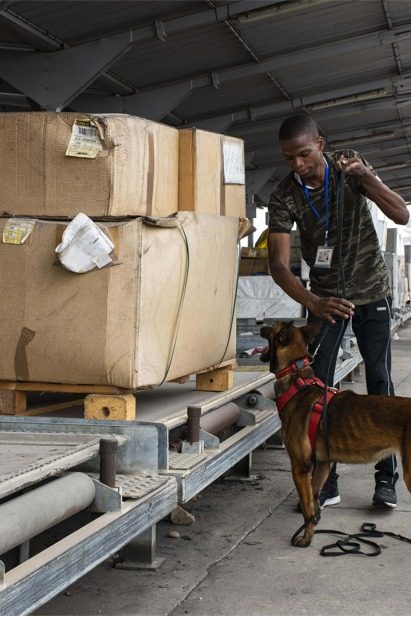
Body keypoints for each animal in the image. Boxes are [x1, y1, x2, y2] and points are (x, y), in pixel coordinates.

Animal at [260, 320, 411, 548]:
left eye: (273, 325)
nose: (260, 325)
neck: (296, 376)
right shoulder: (323, 464)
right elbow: (313, 503)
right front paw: (311, 531)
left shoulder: (300, 468)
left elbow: (306, 508)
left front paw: (305, 539)